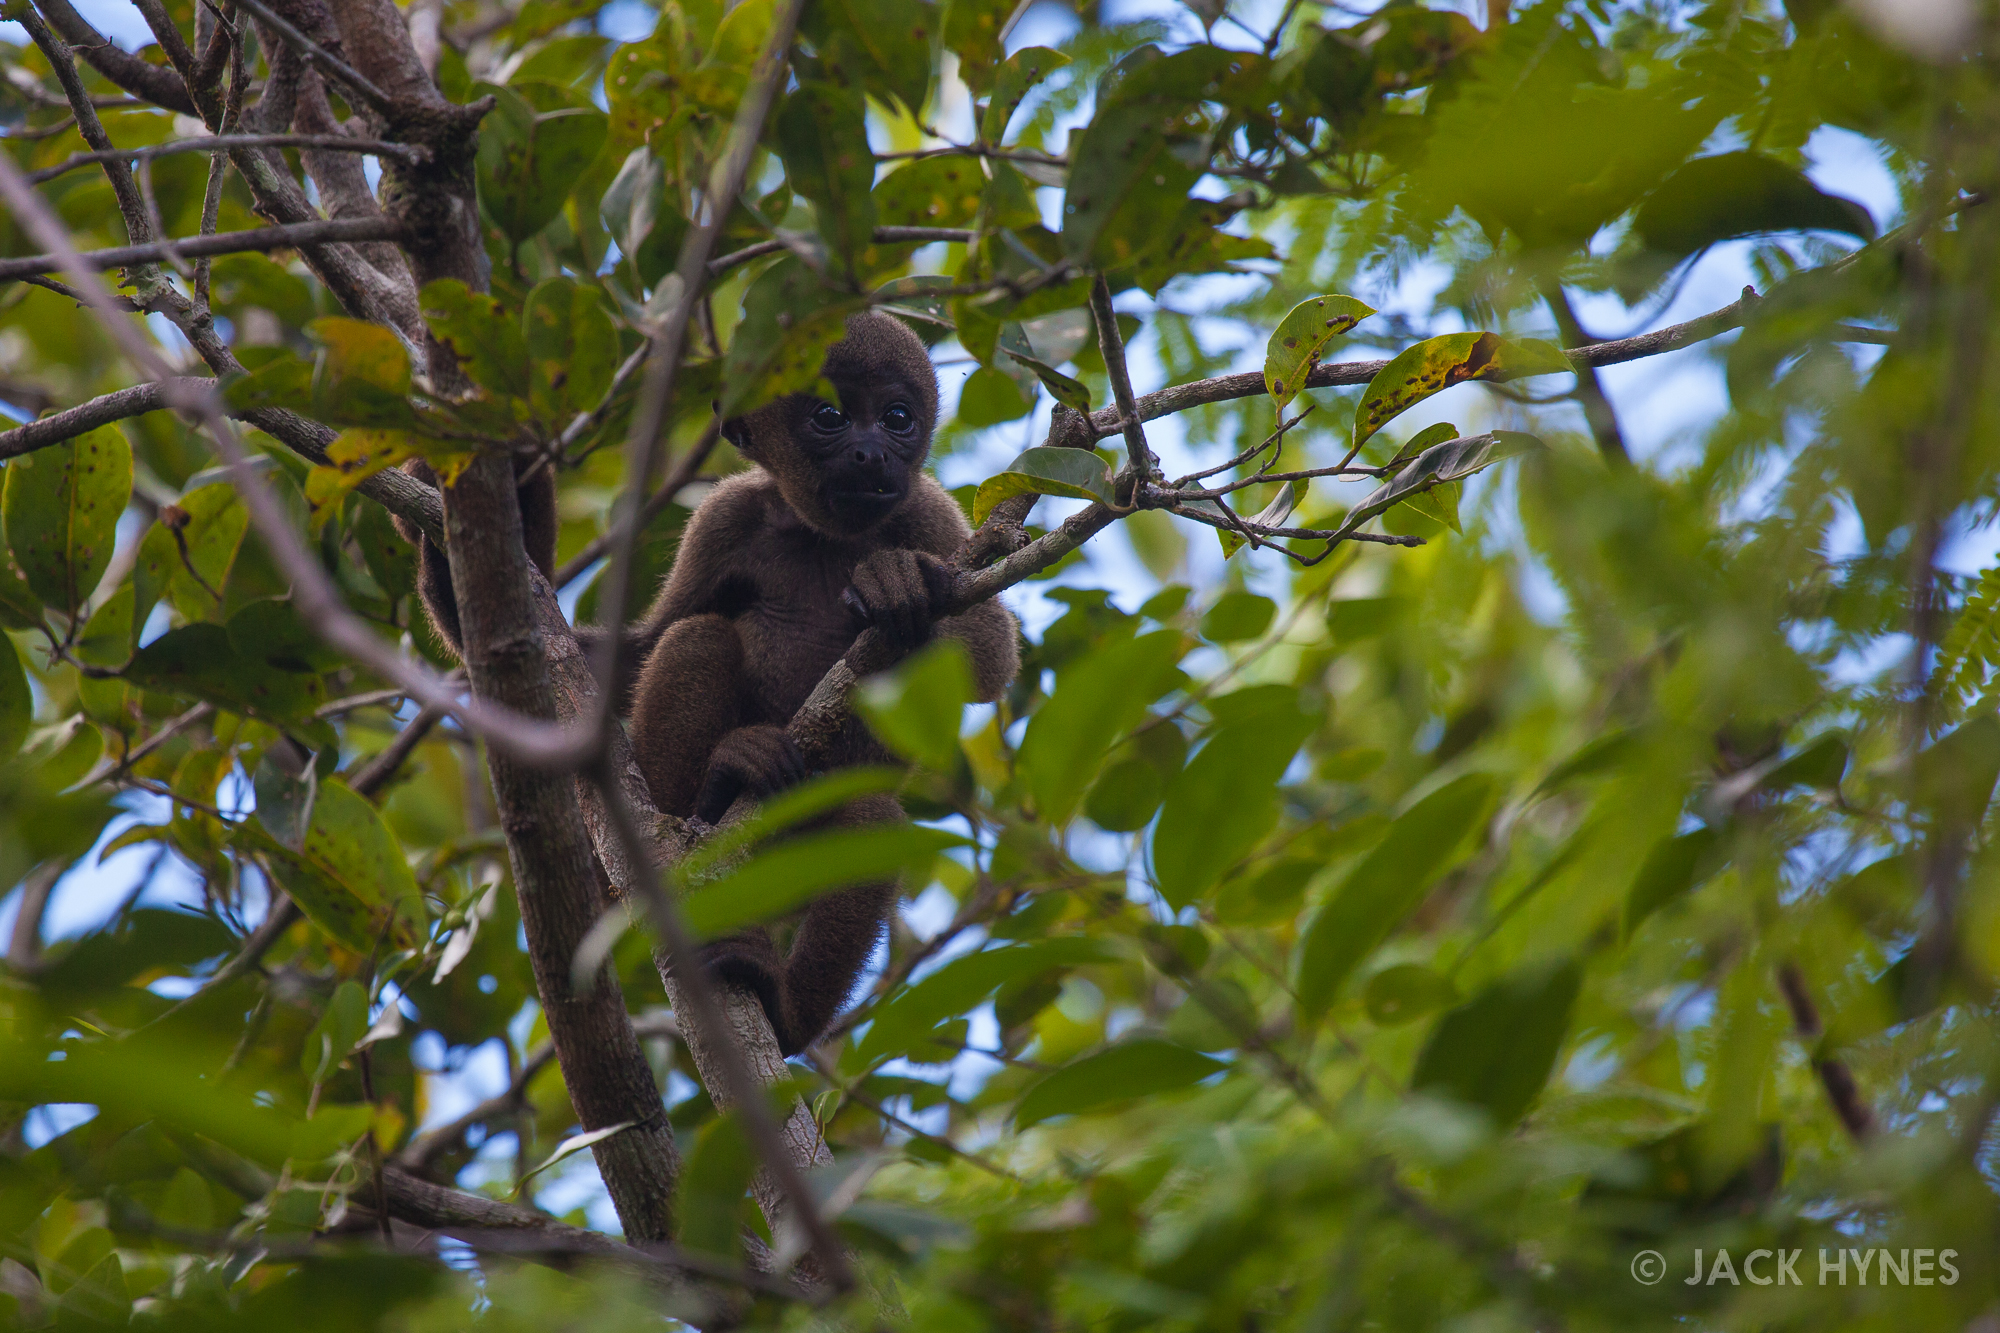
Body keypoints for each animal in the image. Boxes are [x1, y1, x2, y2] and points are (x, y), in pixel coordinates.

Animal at [399, 309, 1019, 1056]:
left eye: (898, 418)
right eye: (831, 416)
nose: (873, 453)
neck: (819, 533)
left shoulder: (927, 514)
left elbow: (990, 653)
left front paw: (896, 581)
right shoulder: (724, 518)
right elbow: (630, 651)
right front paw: (453, 510)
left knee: (870, 818)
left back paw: (786, 1012)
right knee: (697, 639)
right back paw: (712, 789)